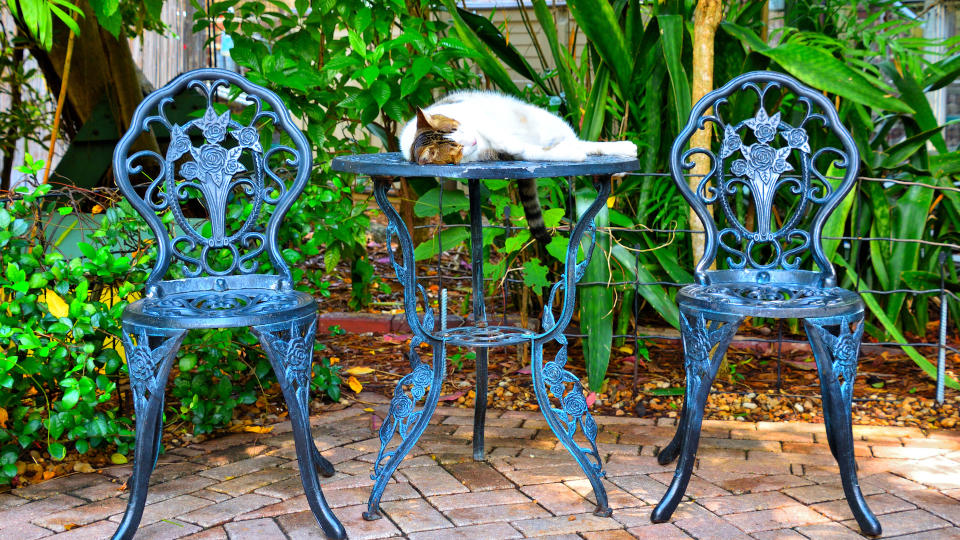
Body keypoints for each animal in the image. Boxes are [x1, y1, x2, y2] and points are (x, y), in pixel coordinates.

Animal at [400, 91, 636, 247]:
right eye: (456, 148)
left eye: (457, 128)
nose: (473, 140)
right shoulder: (499, 154)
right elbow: (524, 152)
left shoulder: (474, 115)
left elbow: (495, 132)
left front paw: (509, 141)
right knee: (566, 149)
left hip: (548, 123)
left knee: (580, 143)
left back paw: (622, 150)